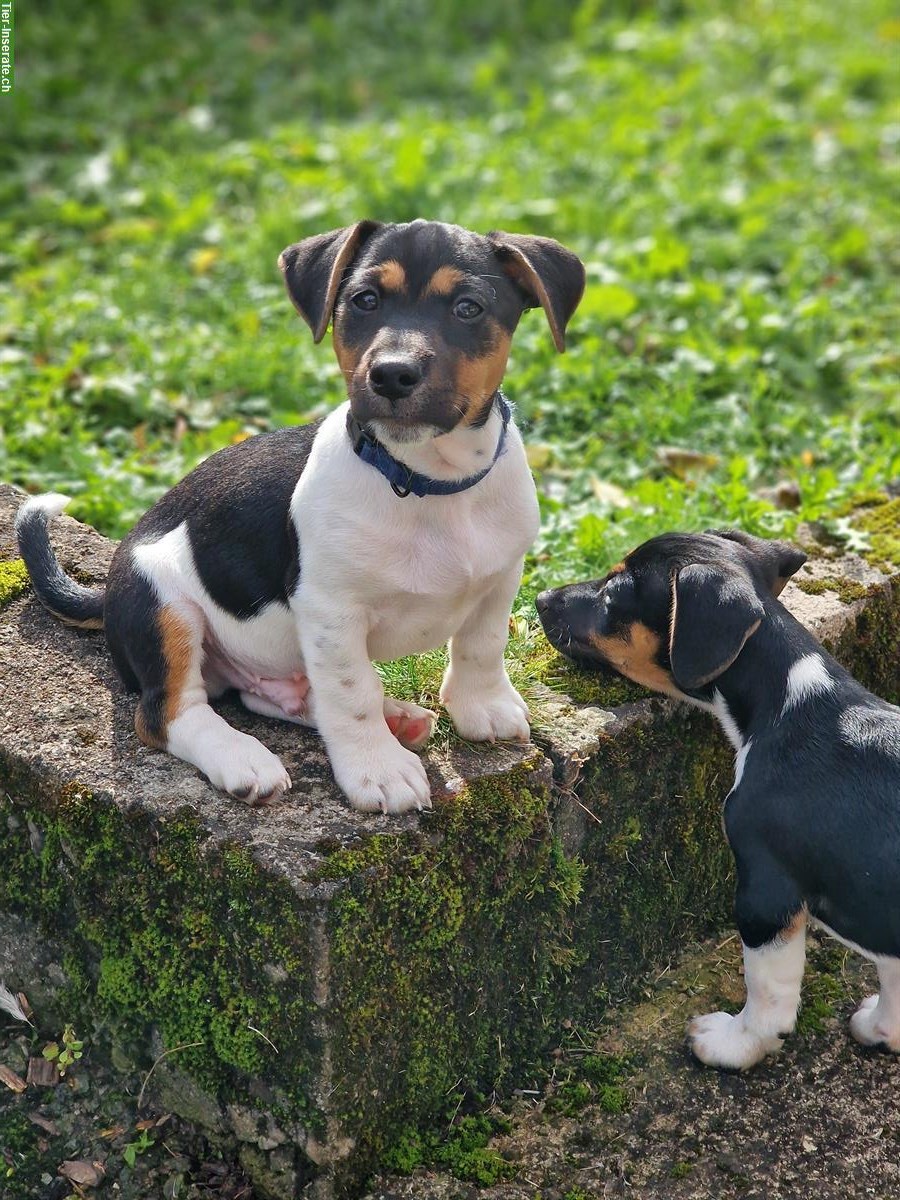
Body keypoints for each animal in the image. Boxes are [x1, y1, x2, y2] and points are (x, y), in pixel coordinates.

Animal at [19, 220, 592, 811]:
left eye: (468, 307)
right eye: (365, 300)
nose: (391, 375)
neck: (426, 482)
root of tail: (108, 593)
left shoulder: (500, 577)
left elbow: (482, 645)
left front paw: (483, 707)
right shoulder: (331, 612)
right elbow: (352, 692)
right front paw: (378, 769)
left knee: (272, 697)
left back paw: (397, 718)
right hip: (164, 606)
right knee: (168, 713)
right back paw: (244, 758)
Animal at [540, 530, 897, 1075]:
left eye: (614, 592)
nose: (539, 598)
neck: (789, 698)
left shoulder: (766, 894)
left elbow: (768, 996)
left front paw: (733, 1044)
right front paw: (882, 1028)